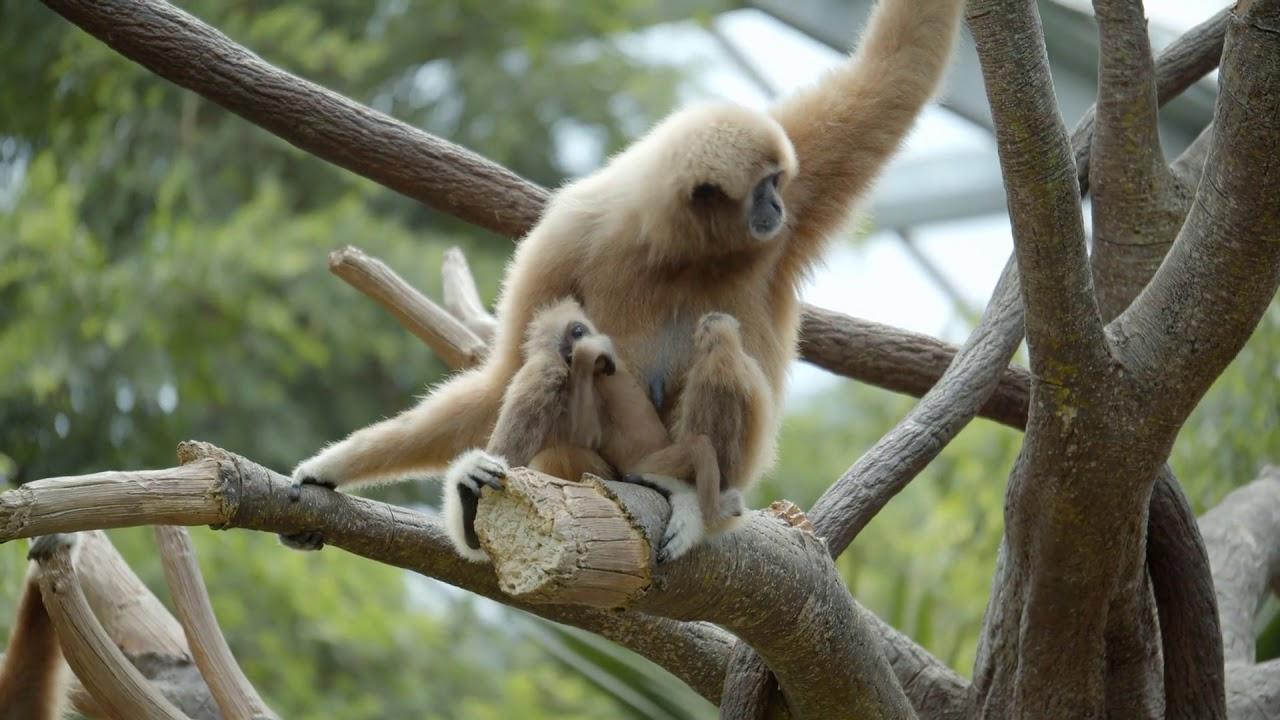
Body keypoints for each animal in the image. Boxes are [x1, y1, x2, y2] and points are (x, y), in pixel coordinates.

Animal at [286, 0, 966, 559]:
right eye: (764, 188)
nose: (777, 205)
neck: (682, 251)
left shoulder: (795, 201)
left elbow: (892, 74)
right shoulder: (564, 234)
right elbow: (507, 373)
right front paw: (330, 468)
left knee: (720, 345)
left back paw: (693, 501)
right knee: (556, 364)